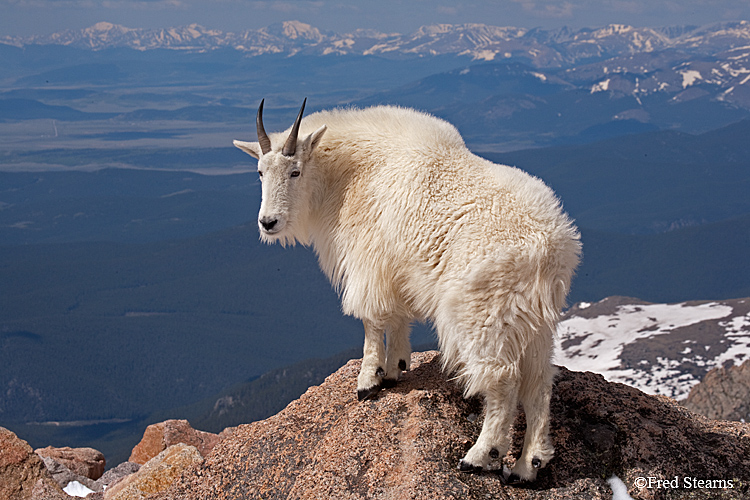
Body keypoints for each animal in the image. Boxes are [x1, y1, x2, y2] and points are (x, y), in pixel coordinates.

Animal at [234, 98, 580, 484]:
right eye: (260, 172)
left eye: (294, 171)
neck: (350, 174)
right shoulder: (395, 270)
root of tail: (551, 247)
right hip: (536, 319)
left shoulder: (367, 261)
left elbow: (371, 320)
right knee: (539, 382)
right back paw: (527, 465)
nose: (269, 223)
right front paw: (396, 368)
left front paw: (368, 380)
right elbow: (397, 317)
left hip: (482, 311)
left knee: (502, 379)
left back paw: (479, 456)